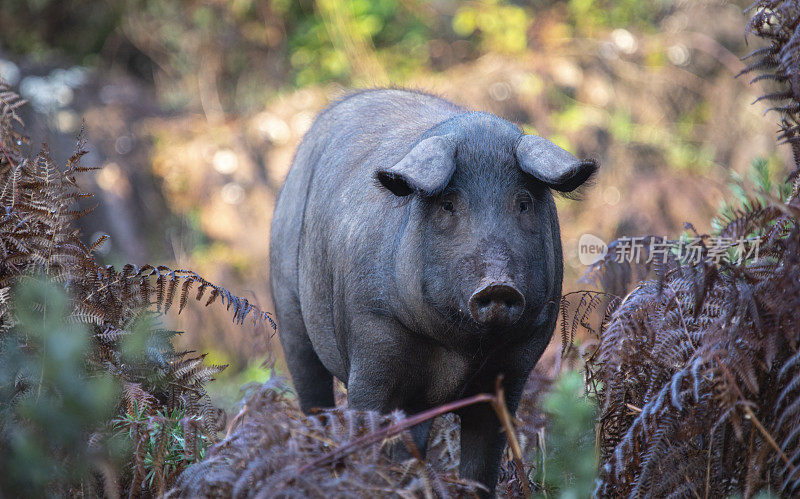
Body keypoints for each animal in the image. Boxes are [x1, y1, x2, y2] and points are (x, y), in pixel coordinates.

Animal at [268, 88, 592, 494]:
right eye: (448, 204)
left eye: (523, 203)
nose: (498, 284)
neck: (460, 350)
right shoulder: (372, 339)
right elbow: (364, 423)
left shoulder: (517, 364)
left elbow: (482, 464)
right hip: (290, 315)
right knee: (313, 395)